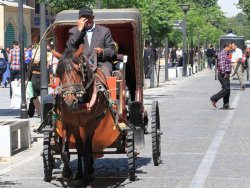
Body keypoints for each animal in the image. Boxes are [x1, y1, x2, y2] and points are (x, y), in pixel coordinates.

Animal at [54, 47, 109, 185]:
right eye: (58, 73)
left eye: (78, 71)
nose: (69, 101)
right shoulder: (68, 123)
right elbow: (65, 152)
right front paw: (67, 174)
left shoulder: (89, 125)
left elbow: (86, 151)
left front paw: (86, 177)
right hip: (77, 126)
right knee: (79, 146)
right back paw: (79, 173)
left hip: (94, 124)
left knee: (87, 147)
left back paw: (89, 170)